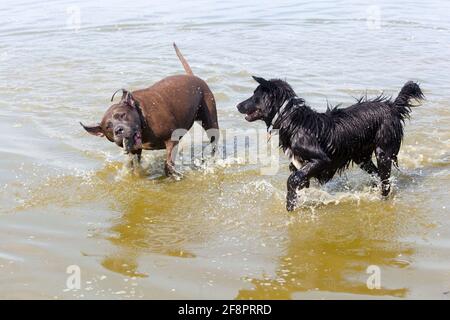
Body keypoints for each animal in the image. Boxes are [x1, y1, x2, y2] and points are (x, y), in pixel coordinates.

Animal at [82, 43, 221, 176]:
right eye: (108, 127)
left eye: (122, 115)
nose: (118, 130)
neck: (142, 118)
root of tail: (194, 77)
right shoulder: (135, 150)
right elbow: (135, 166)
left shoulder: (171, 140)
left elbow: (168, 163)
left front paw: (173, 174)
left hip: (211, 123)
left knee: (214, 143)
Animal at [237, 76, 424, 211]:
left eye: (255, 95)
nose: (238, 105)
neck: (291, 119)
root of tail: (392, 107)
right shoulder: (299, 164)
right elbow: (298, 178)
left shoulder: (322, 160)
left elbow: (293, 179)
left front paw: (290, 203)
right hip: (362, 157)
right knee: (377, 175)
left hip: (383, 152)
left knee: (385, 181)